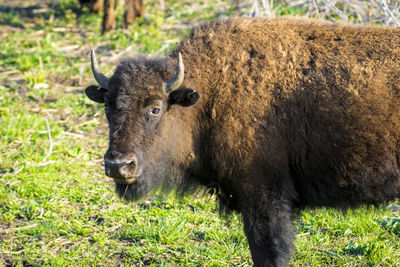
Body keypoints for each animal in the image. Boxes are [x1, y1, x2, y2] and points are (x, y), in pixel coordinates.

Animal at [84, 17, 400, 266]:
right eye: (108, 107)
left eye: (155, 108)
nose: (118, 165)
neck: (210, 92)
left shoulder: (263, 199)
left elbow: (268, 252)